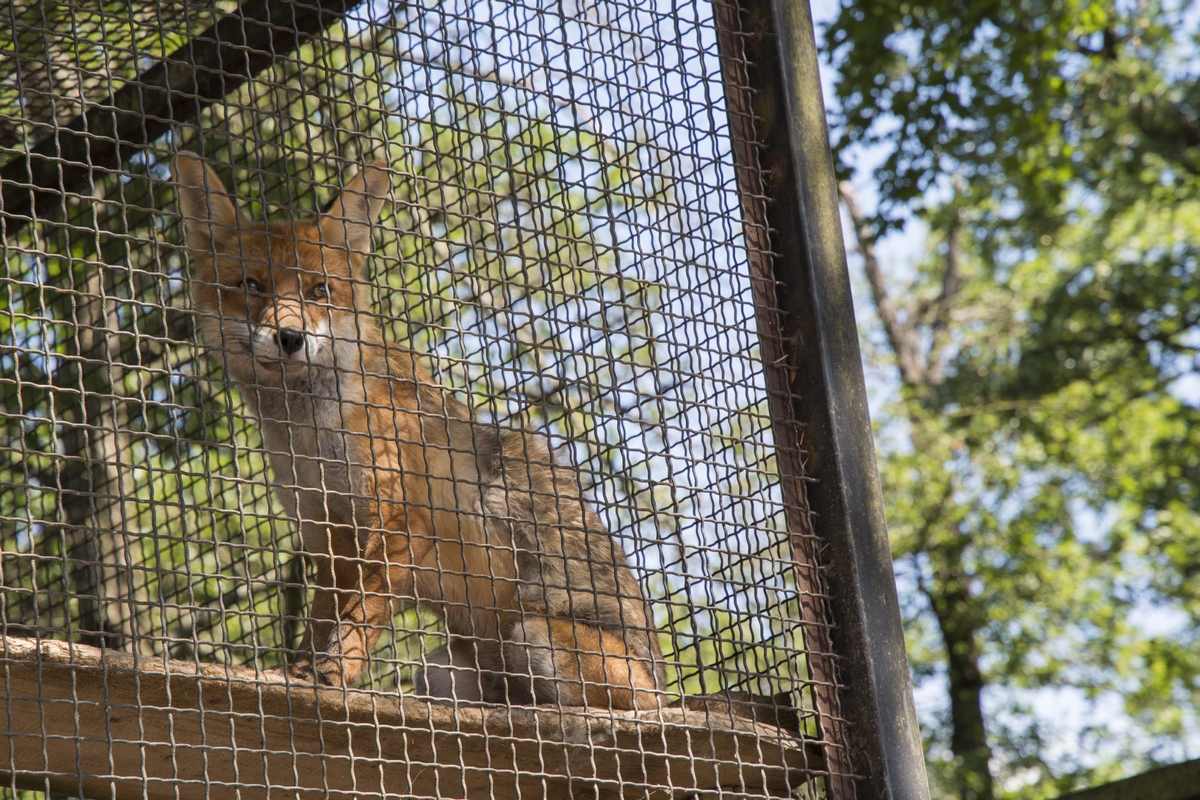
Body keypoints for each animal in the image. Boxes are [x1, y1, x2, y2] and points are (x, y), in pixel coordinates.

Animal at [174, 153, 667, 710]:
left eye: (320, 290)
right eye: (251, 286)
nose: (290, 338)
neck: (308, 434)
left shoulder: (399, 525)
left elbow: (357, 622)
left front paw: (331, 674)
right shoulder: (328, 535)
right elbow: (322, 622)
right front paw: (298, 673)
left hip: (534, 637)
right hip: (439, 671)